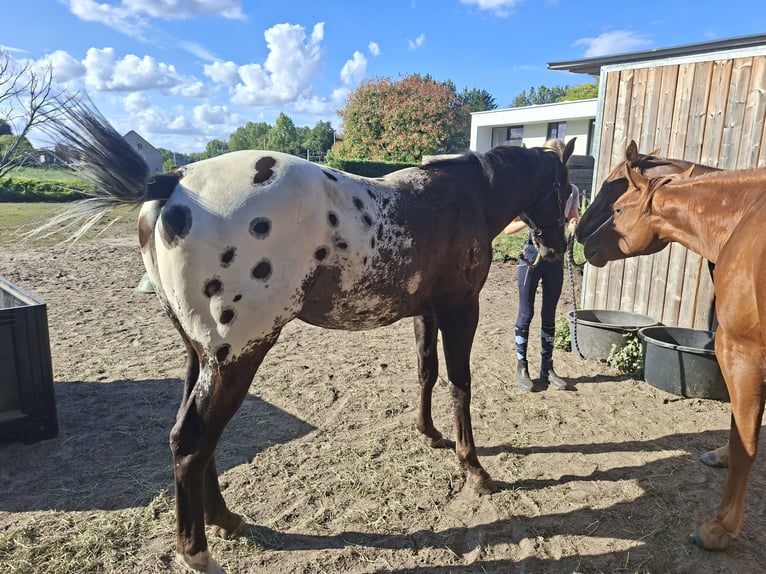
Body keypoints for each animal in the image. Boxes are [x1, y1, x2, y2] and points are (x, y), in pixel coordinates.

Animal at [42, 101, 575, 574]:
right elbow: (460, 385)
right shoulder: (461, 310)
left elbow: (427, 372)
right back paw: (198, 553)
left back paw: (225, 519)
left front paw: (429, 434)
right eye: (567, 188)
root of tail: (173, 181)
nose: (555, 249)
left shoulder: (427, 313)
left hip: (201, 355)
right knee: (193, 439)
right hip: (238, 355)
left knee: (197, 438)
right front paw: (475, 469)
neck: (462, 198)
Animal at [576, 161, 766, 552]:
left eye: (617, 205)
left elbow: (746, 441)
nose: (585, 242)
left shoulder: (742, 349)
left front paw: (719, 528)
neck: (743, 215)